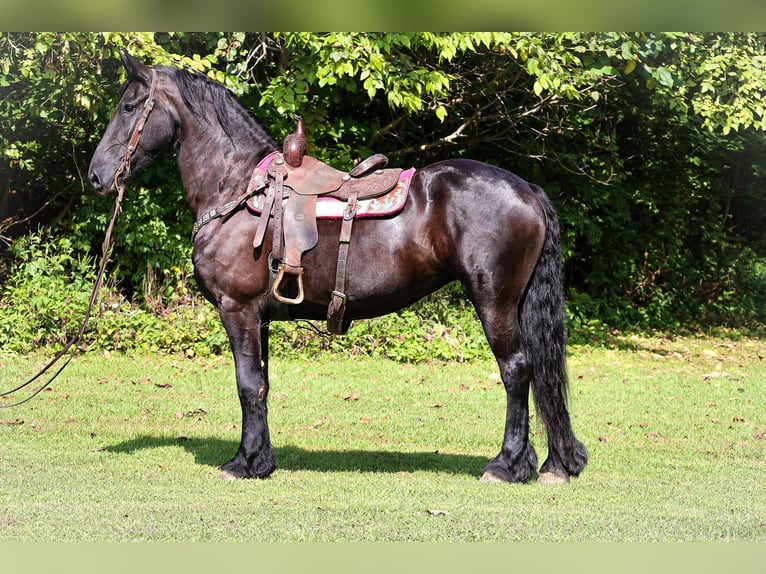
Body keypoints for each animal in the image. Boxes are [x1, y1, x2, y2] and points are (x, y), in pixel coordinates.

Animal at [88, 52, 588, 484]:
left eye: (129, 106)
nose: (96, 176)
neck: (238, 189)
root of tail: (526, 188)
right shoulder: (259, 319)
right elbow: (262, 385)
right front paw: (260, 460)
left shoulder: (238, 309)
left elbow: (247, 385)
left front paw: (242, 463)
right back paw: (550, 464)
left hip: (494, 301)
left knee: (516, 370)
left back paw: (506, 464)